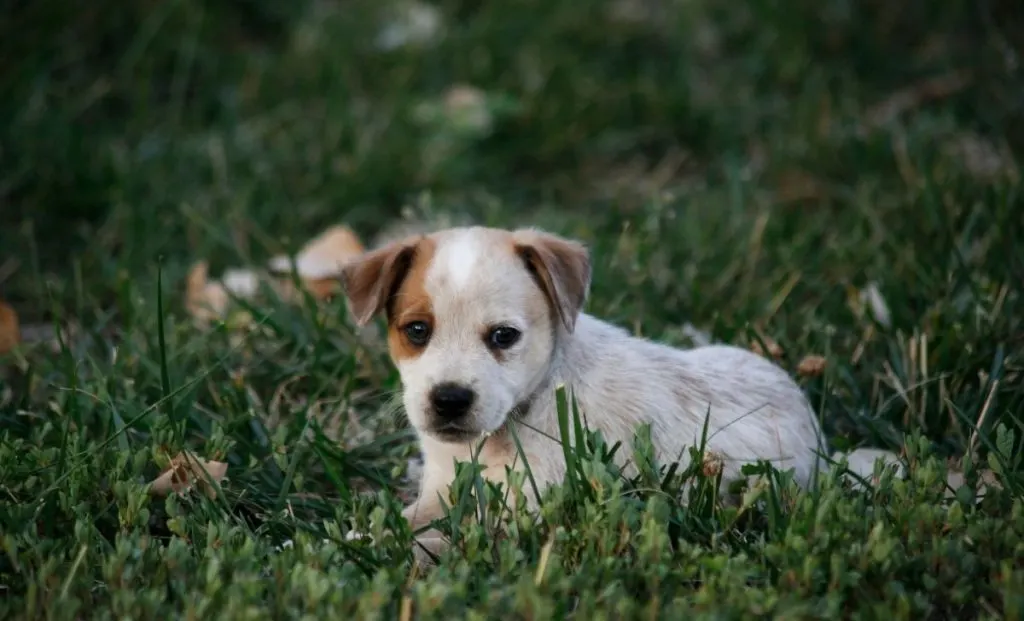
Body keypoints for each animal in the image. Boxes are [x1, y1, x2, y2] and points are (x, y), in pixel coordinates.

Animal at [342, 228, 897, 561]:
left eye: (503, 336)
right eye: (417, 330)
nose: (450, 399)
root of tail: (824, 450)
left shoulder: (531, 515)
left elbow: (440, 540)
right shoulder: (441, 491)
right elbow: (402, 522)